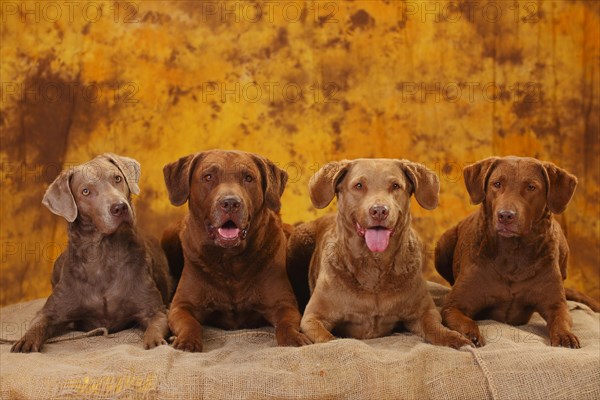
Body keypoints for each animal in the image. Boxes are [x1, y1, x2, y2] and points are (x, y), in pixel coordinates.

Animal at [11, 154, 171, 354]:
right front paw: (25, 341)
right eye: (85, 191)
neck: (103, 254)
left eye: (117, 178)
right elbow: (38, 324)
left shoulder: (155, 310)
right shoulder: (50, 312)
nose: (120, 207)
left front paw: (155, 342)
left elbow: (155, 326)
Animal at [162, 148, 310, 352]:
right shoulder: (182, 306)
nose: (231, 203)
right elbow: (190, 323)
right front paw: (187, 341)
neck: (230, 260)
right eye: (208, 177)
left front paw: (293, 338)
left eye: (248, 178)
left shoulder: (284, 304)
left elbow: (286, 324)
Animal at [288, 159, 472, 350]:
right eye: (359, 185)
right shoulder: (313, 317)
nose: (379, 211)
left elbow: (435, 327)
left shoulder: (426, 311)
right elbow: (329, 339)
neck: (374, 265)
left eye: (395, 185)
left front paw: (456, 338)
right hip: (299, 242)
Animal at [436, 155, 596, 348]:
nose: (505, 215)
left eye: (531, 187)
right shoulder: (453, 305)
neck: (512, 252)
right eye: (497, 184)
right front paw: (470, 335)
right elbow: (465, 319)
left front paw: (565, 336)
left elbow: (561, 319)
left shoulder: (556, 304)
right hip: (443, 243)